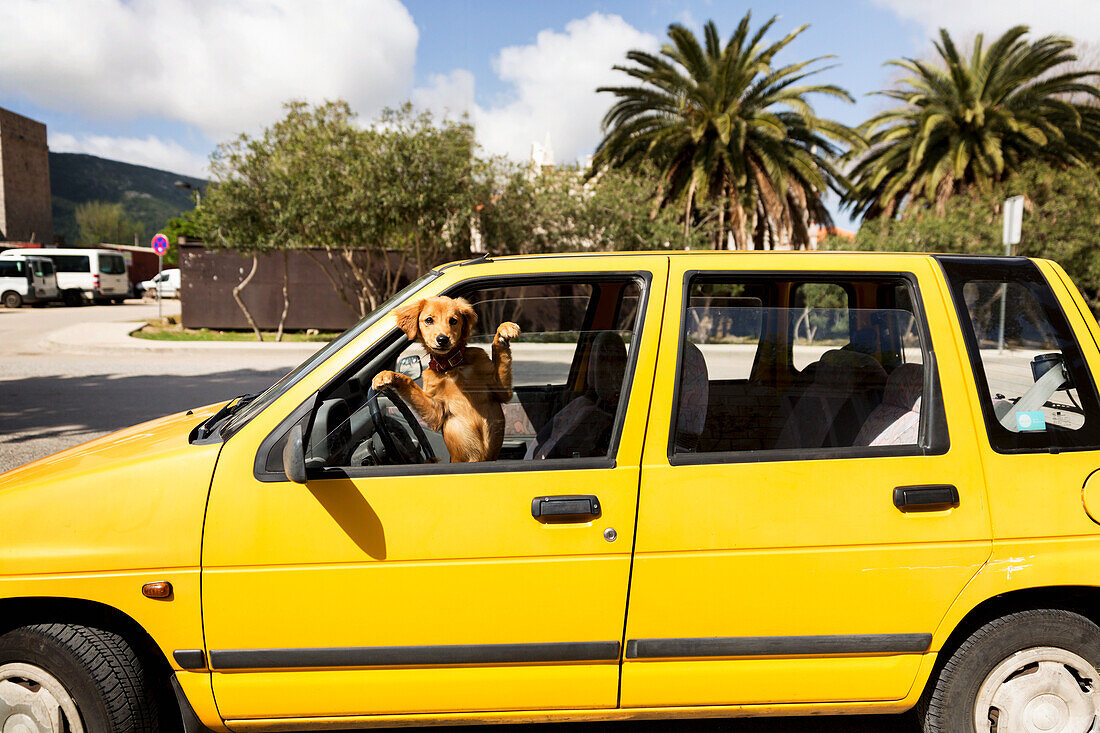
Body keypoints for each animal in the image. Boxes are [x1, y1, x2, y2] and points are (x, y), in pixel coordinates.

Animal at [374, 294, 519, 460]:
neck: (451, 367)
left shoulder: (501, 390)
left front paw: (503, 331)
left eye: (453, 321)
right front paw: (388, 375)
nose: (442, 339)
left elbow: (499, 351)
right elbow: (409, 381)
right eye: (429, 320)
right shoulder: (436, 412)